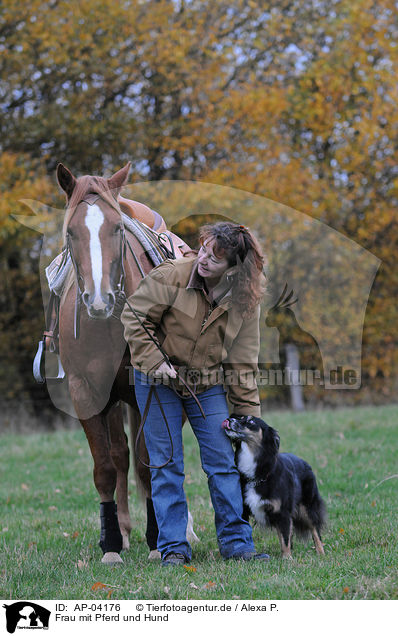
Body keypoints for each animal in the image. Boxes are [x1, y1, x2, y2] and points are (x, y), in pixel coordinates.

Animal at [54, 161, 193, 564]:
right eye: (71, 231)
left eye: (116, 228)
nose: (99, 298)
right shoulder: (86, 392)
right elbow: (105, 467)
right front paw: (112, 543)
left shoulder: (151, 390)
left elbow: (151, 466)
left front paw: (157, 539)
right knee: (120, 456)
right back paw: (125, 530)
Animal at [222, 412, 324, 556]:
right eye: (240, 417)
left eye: (251, 421)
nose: (228, 419)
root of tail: (304, 462)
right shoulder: (244, 510)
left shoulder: (283, 512)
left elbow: (285, 538)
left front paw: (287, 558)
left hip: (307, 505)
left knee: (315, 529)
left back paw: (321, 551)